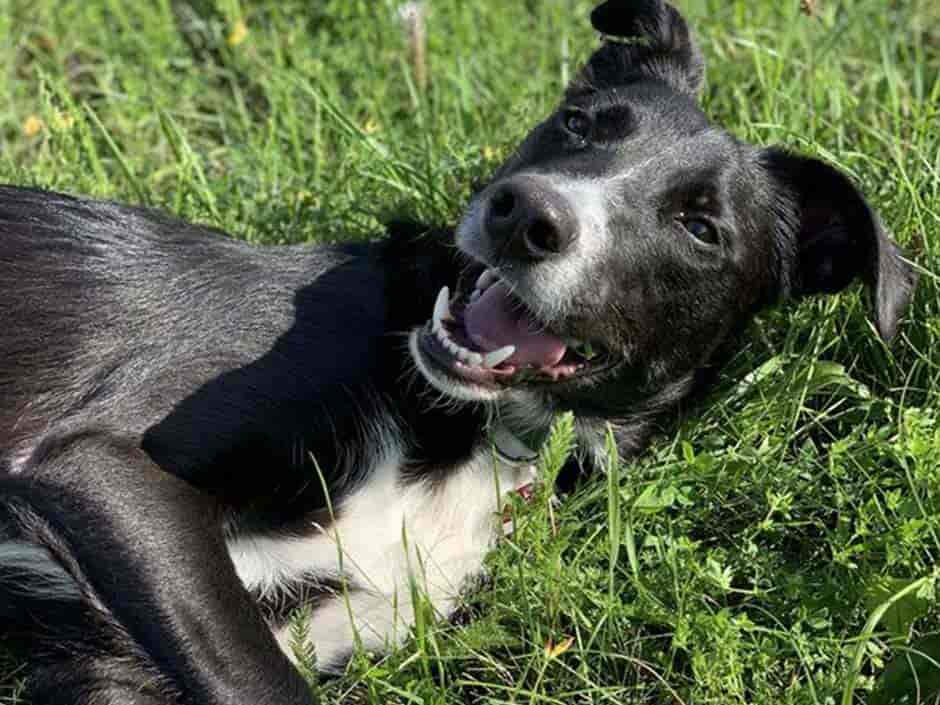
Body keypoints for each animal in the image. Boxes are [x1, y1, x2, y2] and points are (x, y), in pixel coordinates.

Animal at [0, 1, 916, 704]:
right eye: (578, 123)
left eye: (700, 225)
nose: (524, 213)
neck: (480, 431)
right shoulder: (103, 467)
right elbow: (261, 684)